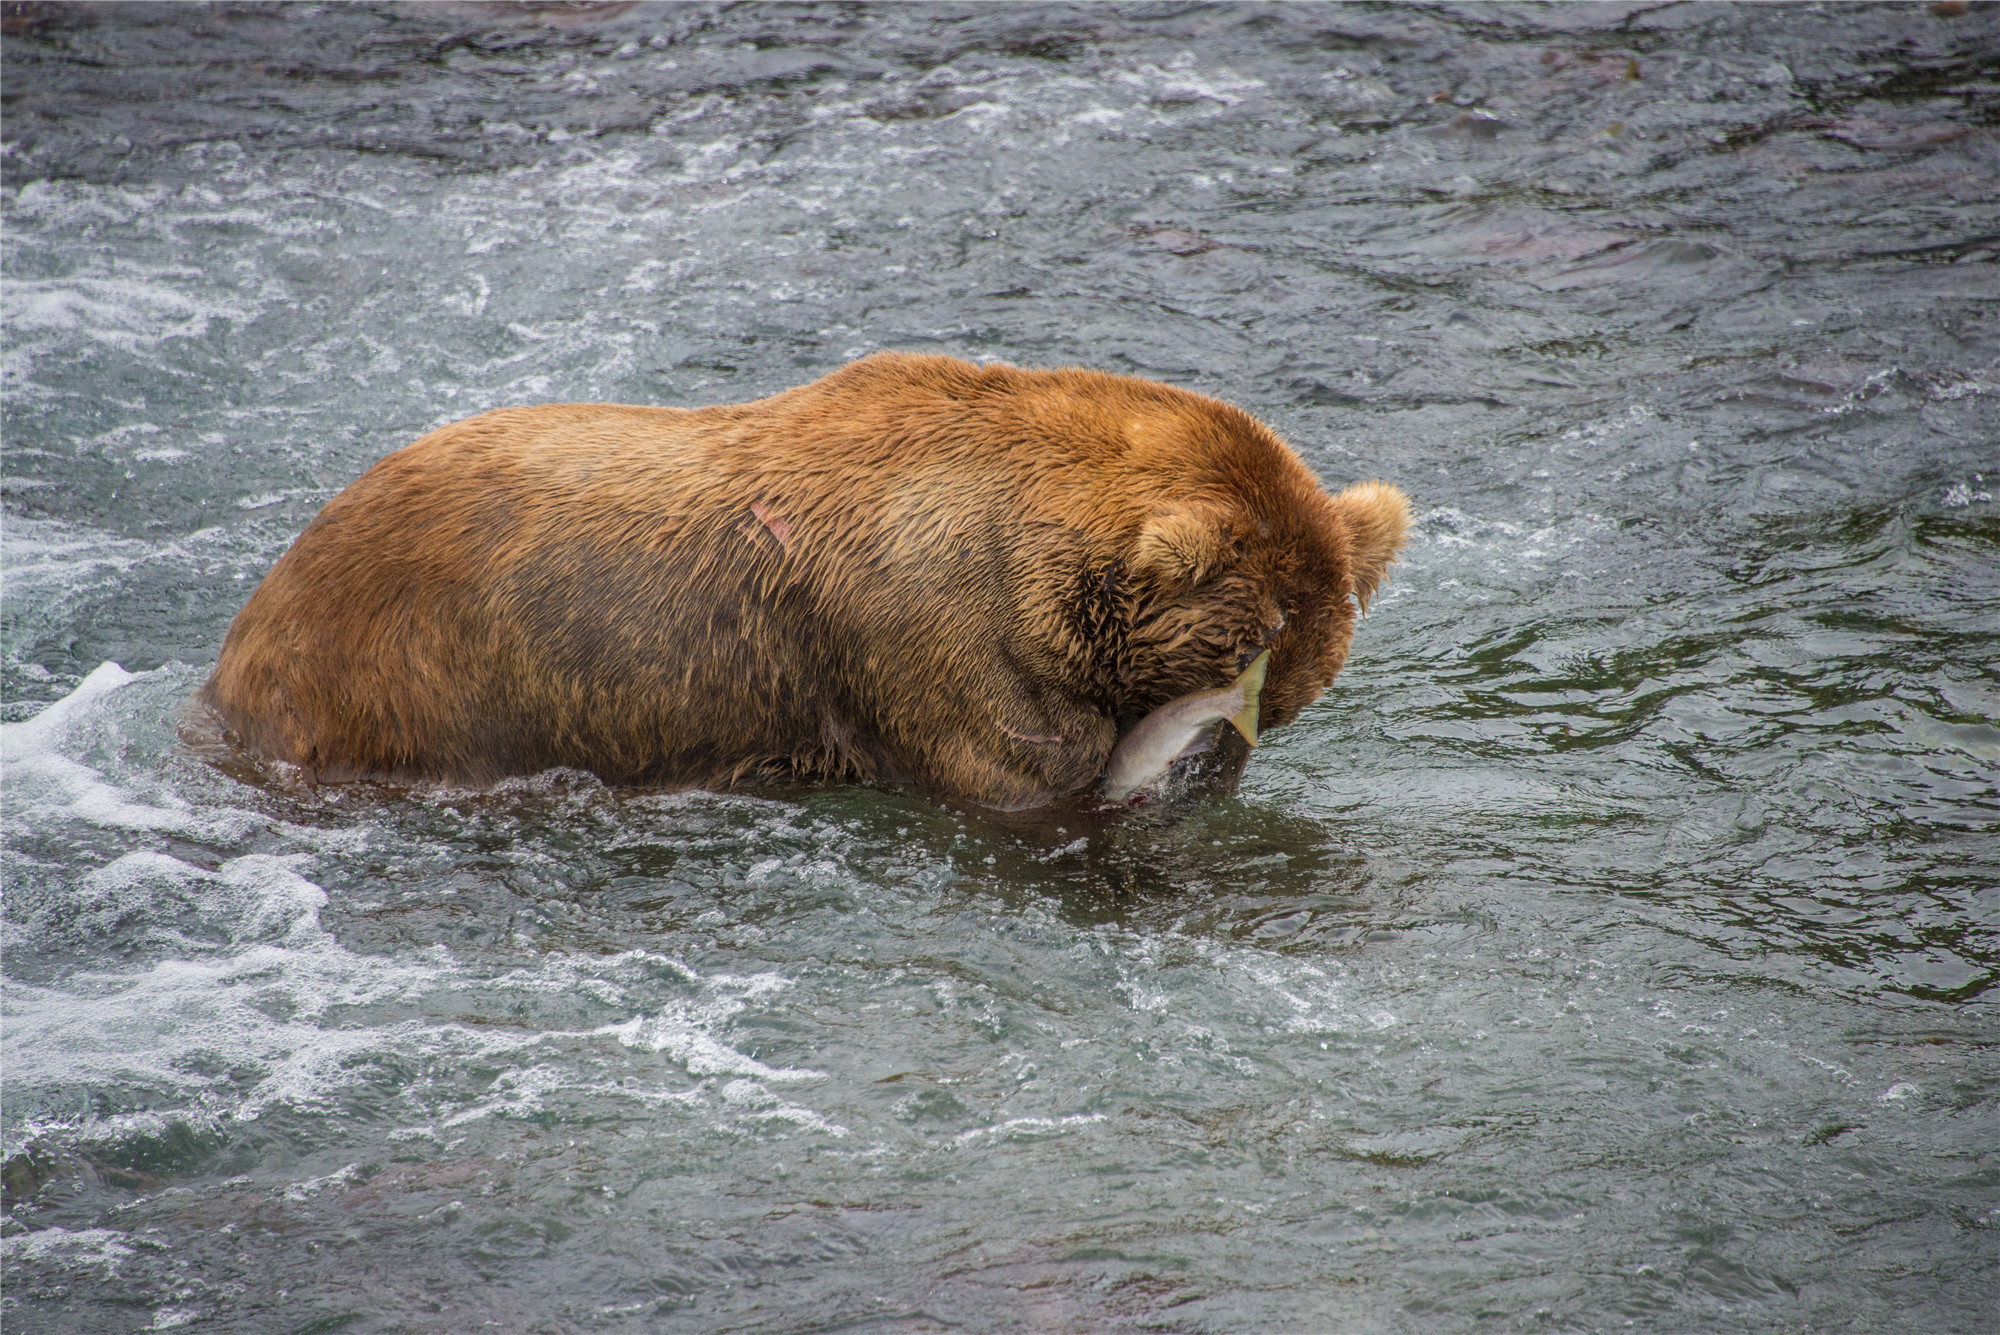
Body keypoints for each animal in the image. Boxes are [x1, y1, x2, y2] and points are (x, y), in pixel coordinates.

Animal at [195, 353, 1400, 807]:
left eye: (1290, 695)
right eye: (1237, 650)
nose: (1205, 766)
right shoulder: (920, 631)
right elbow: (1017, 770)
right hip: (407, 680)